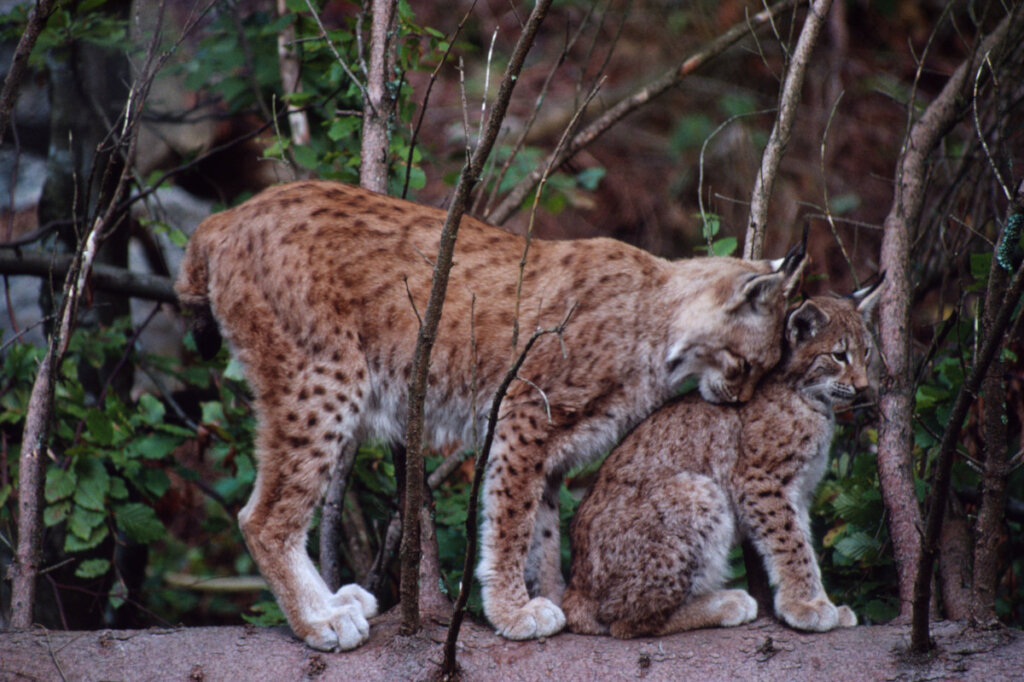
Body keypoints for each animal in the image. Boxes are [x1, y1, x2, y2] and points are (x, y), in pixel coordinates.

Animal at [178, 180, 806, 647]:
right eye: (750, 366)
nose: (737, 404)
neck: (661, 319)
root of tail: (232, 213)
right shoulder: (522, 413)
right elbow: (508, 519)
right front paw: (512, 611)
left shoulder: (556, 447)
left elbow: (542, 529)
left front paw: (552, 596)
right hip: (324, 381)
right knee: (261, 517)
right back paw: (320, 621)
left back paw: (336, 601)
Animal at [561, 278, 880, 634]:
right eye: (838, 356)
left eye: (866, 351)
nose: (863, 387)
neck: (810, 397)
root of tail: (575, 587)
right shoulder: (761, 480)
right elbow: (791, 544)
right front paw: (805, 606)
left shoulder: (801, 489)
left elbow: (805, 544)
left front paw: (822, 603)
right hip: (700, 490)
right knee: (628, 622)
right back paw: (725, 604)